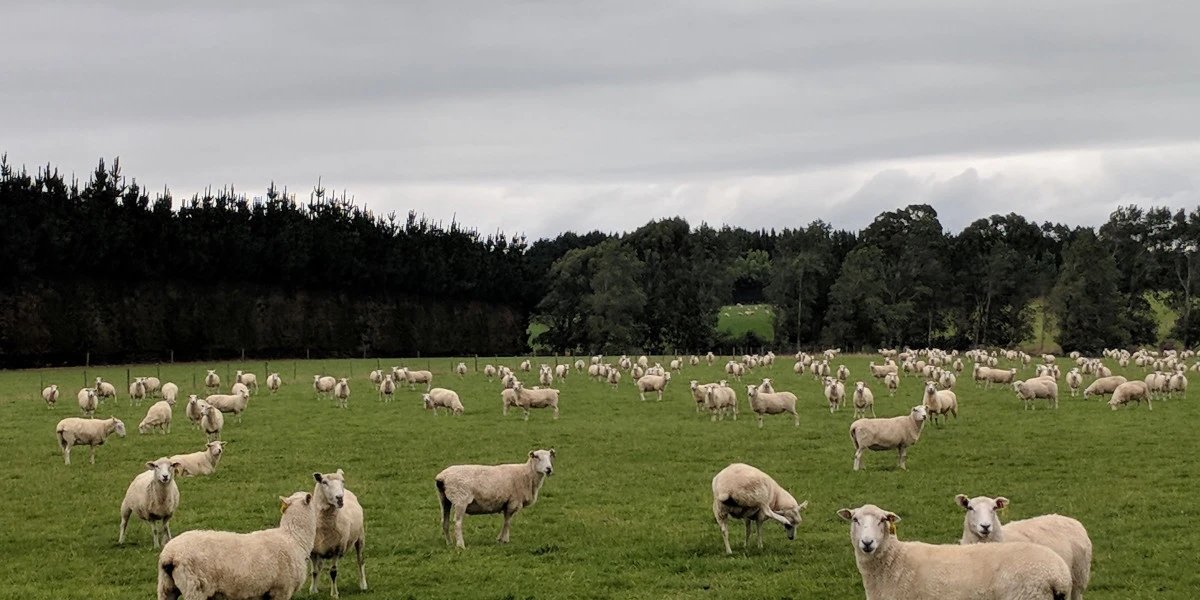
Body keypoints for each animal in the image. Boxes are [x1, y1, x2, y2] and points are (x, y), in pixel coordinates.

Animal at [310, 469, 367, 598]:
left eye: (343, 481)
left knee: (360, 561)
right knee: (319, 567)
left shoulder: (337, 548)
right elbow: (314, 571)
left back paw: (363, 585)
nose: (340, 498)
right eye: (324, 482)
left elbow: (333, 572)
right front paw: (313, 590)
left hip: (360, 537)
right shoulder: (313, 551)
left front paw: (334, 594)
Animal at [837, 504, 1072, 600]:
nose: (867, 543)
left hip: (1027, 596)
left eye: (882, 520)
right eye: (855, 519)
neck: (894, 562)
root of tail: (1058, 575)